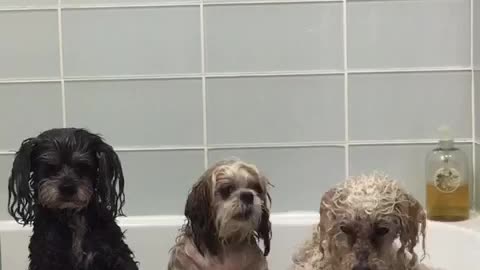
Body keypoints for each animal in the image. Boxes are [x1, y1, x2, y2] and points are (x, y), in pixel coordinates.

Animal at [8, 128, 138, 270]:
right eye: (49, 167)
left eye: (83, 166)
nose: (67, 188)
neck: (73, 218)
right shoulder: (45, 257)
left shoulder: (115, 255)